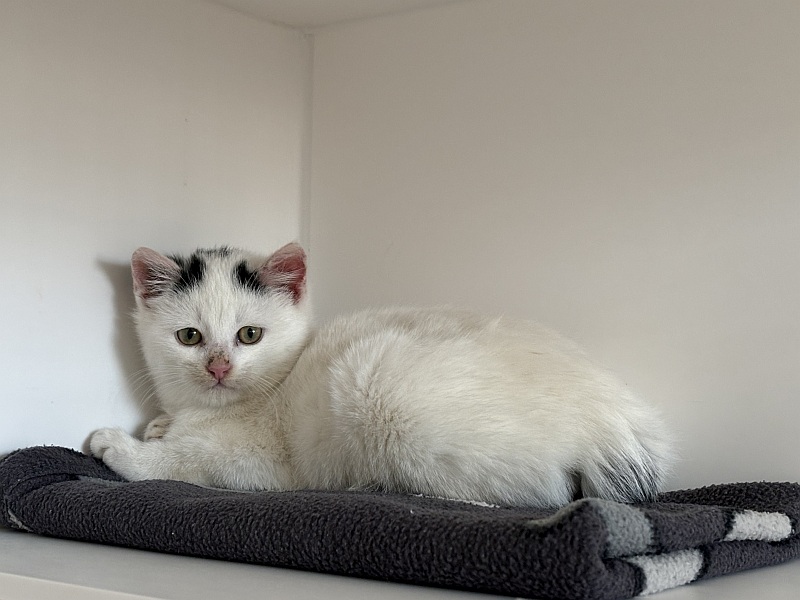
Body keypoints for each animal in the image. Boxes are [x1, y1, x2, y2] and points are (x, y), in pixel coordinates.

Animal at [90, 242, 674, 507]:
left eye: (249, 335)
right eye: (189, 337)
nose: (218, 366)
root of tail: (613, 412)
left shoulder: (267, 465)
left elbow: (186, 462)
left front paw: (122, 447)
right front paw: (159, 426)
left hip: (374, 383)